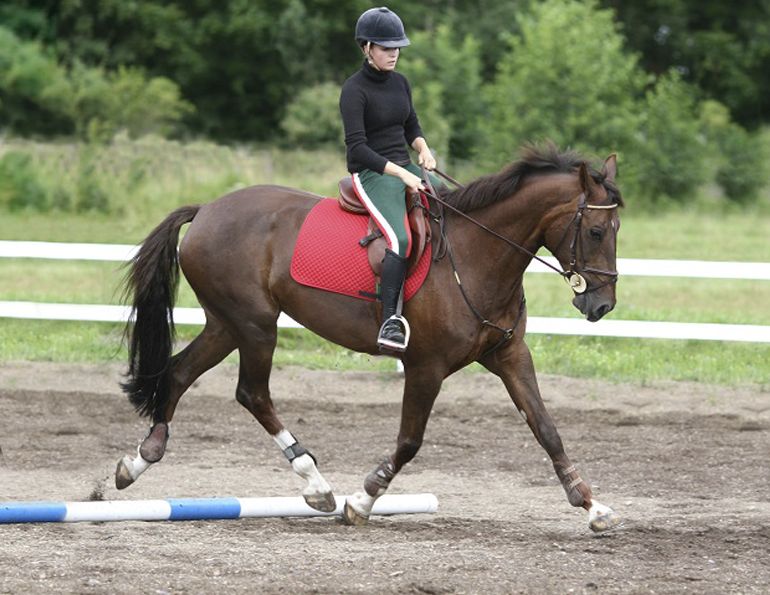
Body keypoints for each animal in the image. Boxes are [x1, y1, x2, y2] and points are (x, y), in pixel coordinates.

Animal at [115, 144, 623, 532]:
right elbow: (410, 440)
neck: (478, 256)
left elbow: (546, 429)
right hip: (256, 325)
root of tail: (206, 209)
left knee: (180, 372)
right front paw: (361, 501)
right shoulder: (425, 367)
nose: (601, 306)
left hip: (226, 324)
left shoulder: (510, 356)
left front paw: (593, 506)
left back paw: (138, 461)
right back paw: (317, 486)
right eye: (597, 230)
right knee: (252, 393)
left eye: (617, 229)